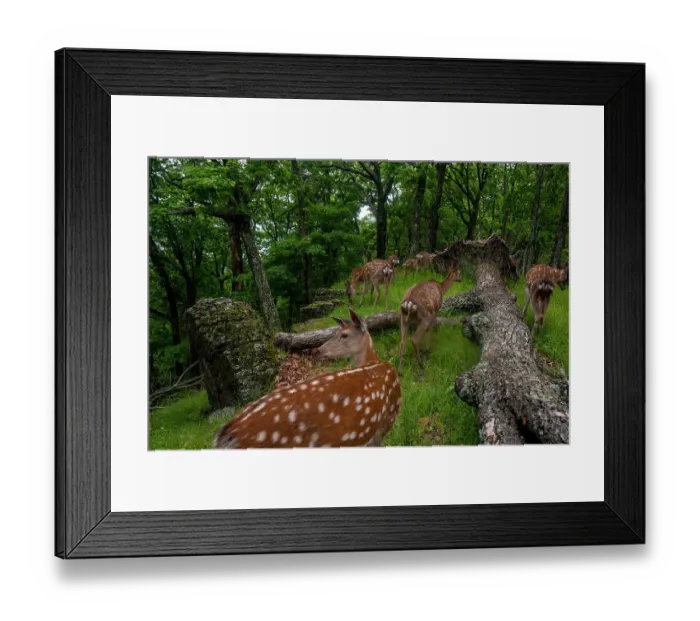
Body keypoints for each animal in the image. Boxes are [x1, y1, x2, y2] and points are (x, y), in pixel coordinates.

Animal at [213, 309, 402, 449]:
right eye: (336, 332)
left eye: (344, 334)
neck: (373, 362)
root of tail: (228, 435)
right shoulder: (384, 425)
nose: (318, 350)